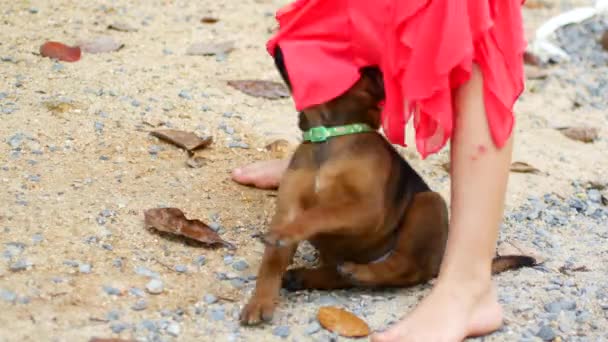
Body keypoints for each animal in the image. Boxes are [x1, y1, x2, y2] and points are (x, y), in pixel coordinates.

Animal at [240, 46, 536, 324]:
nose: (277, 47)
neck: (328, 136)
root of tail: (439, 260)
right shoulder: (289, 207)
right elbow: (271, 262)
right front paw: (259, 302)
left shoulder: (367, 209)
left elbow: (320, 212)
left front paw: (284, 233)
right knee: (341, 274)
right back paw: (306, 277)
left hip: (428, 204)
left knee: (403, 268)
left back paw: (359, 271)